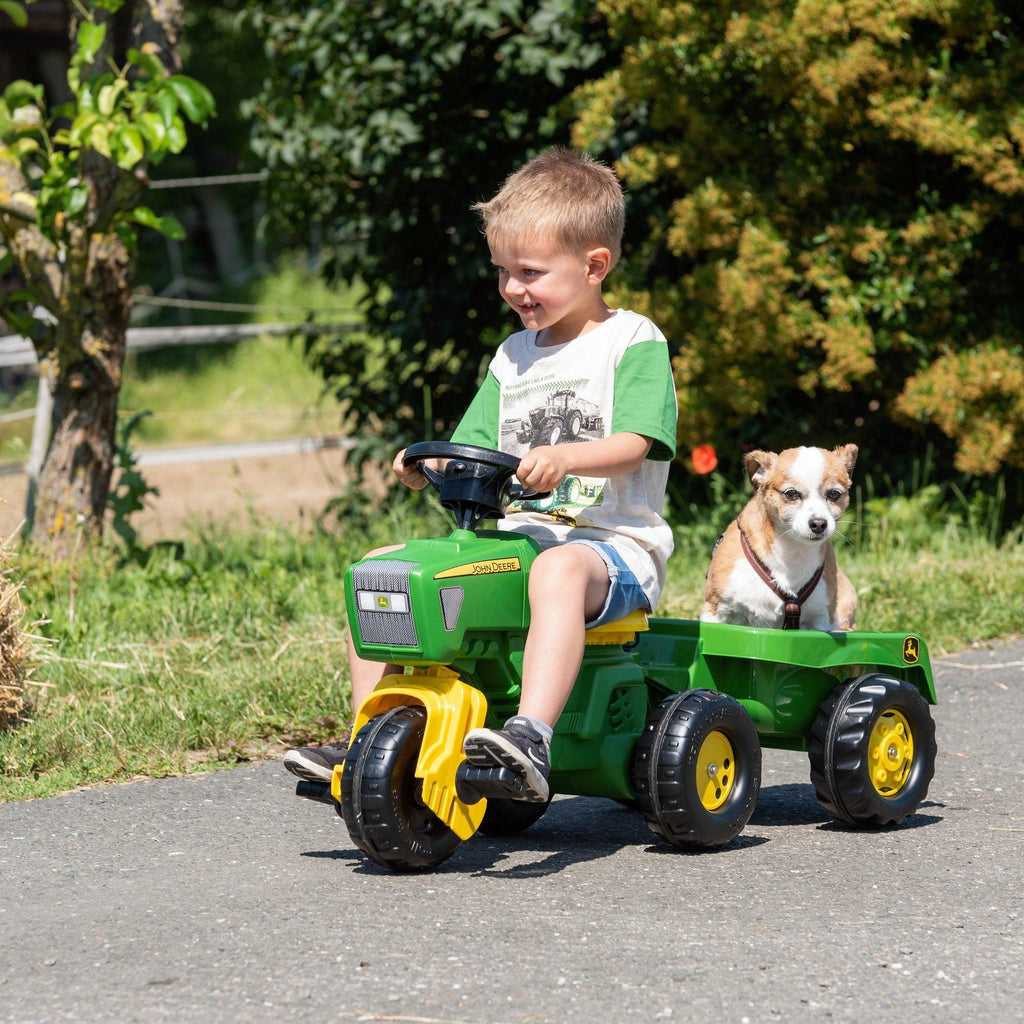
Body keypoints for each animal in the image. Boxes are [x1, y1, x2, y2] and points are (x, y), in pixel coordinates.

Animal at [704, 442, 856, 626]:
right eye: (791, 493)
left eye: (834, 494)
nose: (819, 523)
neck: (792, 551)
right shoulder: (716, 610)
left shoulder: (820, 619)